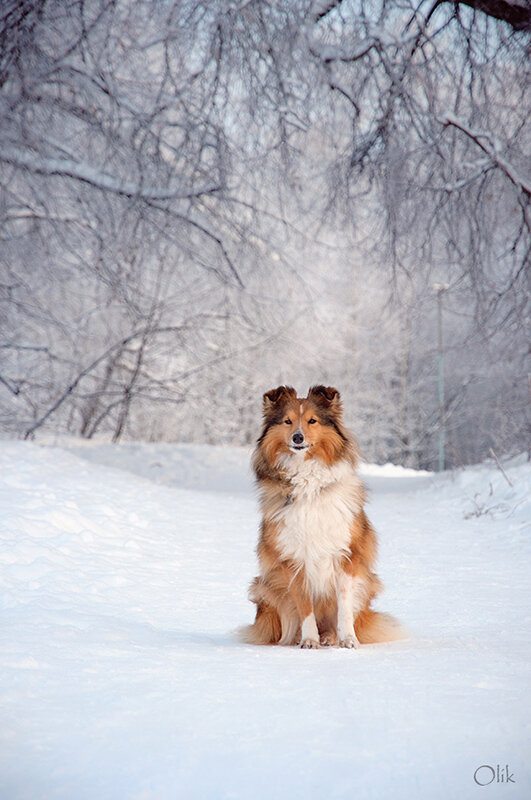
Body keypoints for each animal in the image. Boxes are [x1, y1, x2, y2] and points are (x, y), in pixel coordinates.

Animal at [239, 382, 406, 648]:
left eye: (312, 421)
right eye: (287, 421)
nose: (298, 437)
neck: (308, 481)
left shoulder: (347, 555)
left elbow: (344, 606)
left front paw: (348, 640)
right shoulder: (294, 559)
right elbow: (305, 606)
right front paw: (309, 640)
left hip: (368, 583)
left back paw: (330, 637)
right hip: (267, 587)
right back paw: (301, 638)